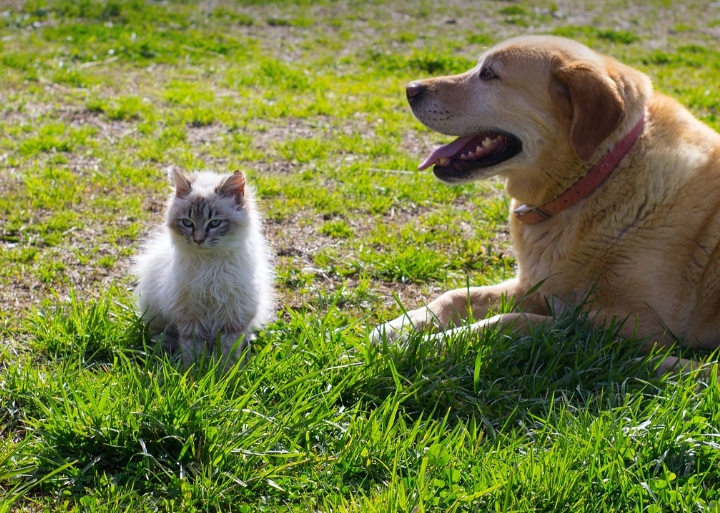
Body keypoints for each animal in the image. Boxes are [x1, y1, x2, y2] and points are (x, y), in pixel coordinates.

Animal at [132, 167, 276, 364]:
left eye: (215, 223)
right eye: (187, 223)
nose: (199, 240)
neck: (209, 268)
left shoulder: (233, 315)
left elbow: (228, 348)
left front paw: (224, 369)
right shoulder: (190, 314)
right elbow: (193, 347)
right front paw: (194, 368)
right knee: (159, 333)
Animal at [372, 35, 720, 372]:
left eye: (488, 74)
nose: (410, 89)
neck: (595, 180)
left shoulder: (628, 325)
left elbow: (509, 321)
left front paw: (431, 343)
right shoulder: (535, 287)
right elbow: (457, 295)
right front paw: (398, 328)